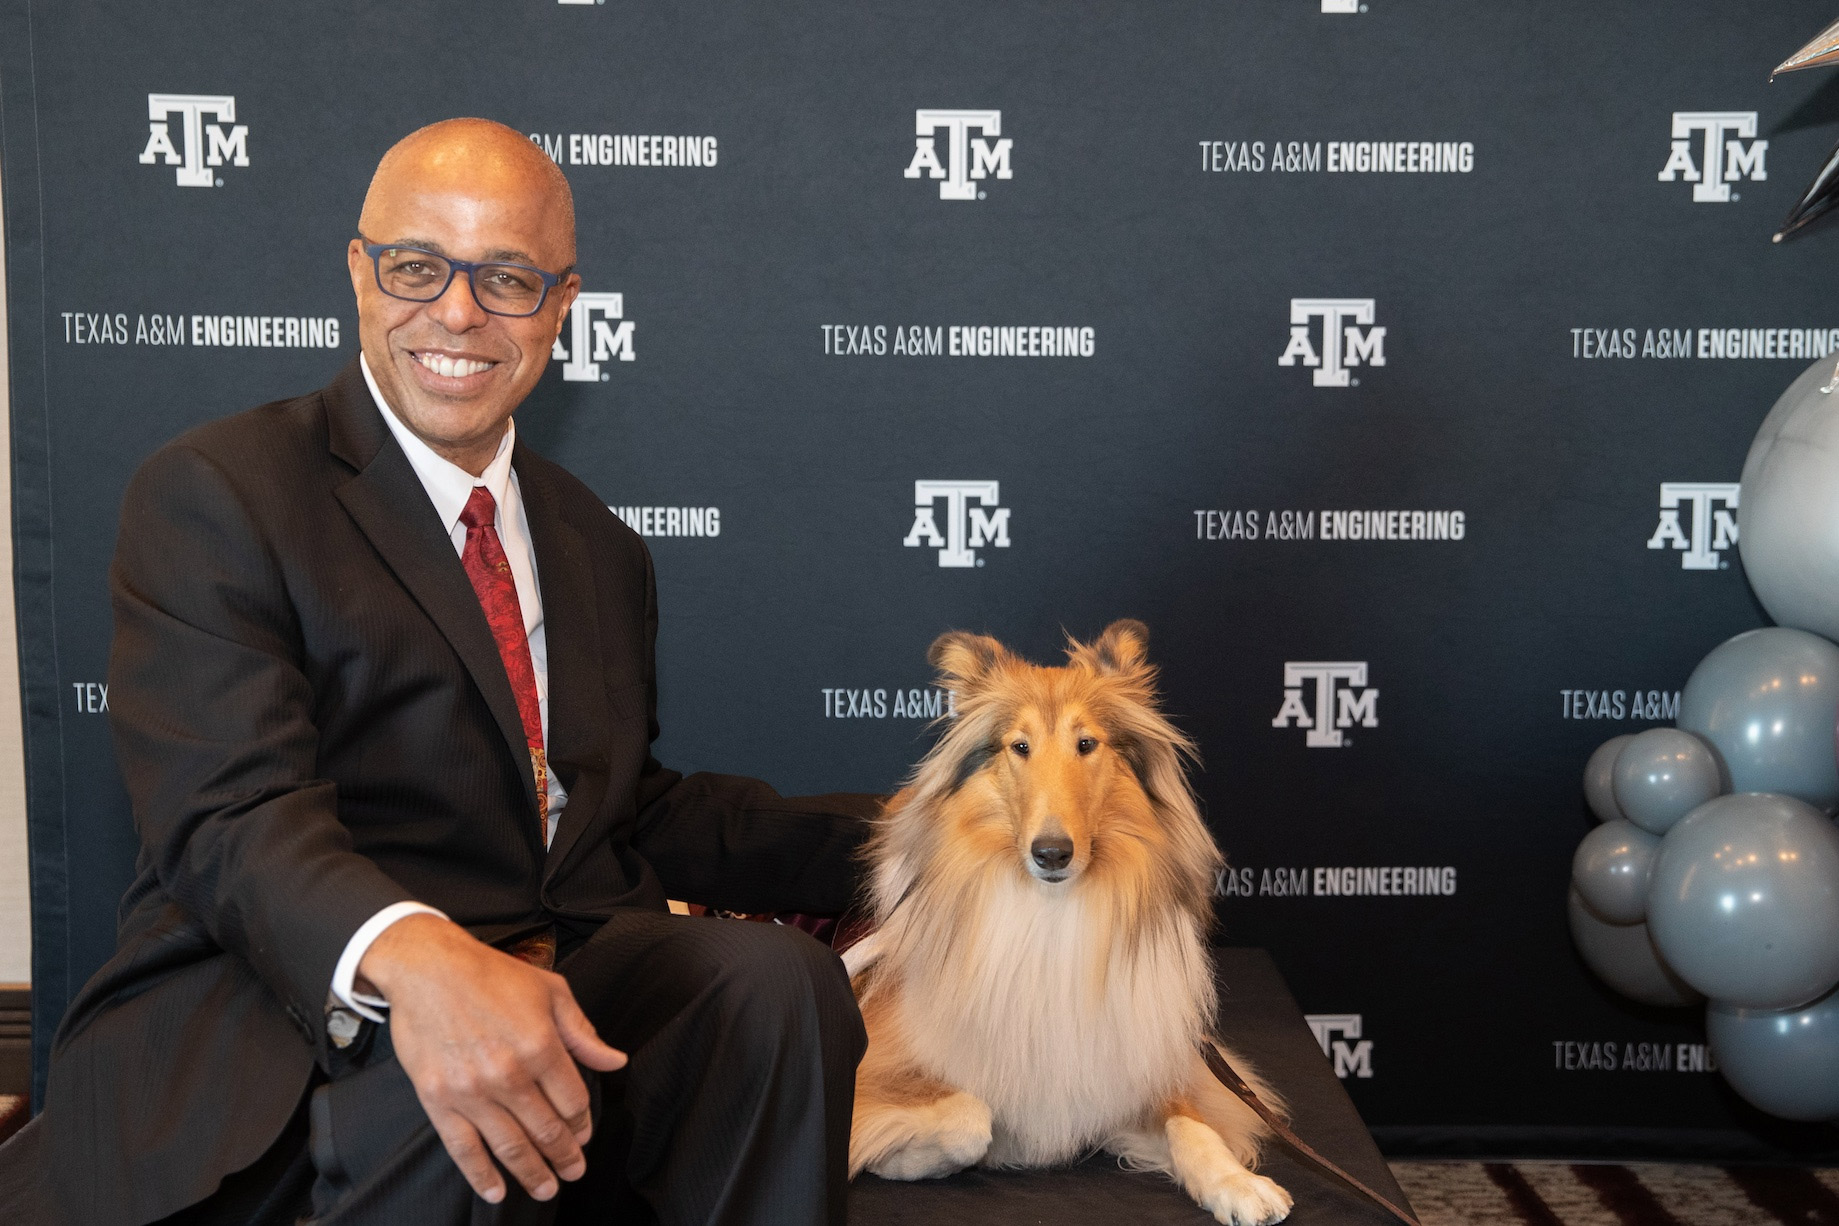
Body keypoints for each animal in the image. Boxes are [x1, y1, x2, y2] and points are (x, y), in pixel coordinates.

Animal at [842, 624, 1287, 1226]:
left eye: (1087, 744)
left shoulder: (1139, 1066)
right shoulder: (873, 1070)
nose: (1051, 853)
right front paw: (898, 1157)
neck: (1052, 917)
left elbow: (1193, 1125)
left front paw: (1237, 1183)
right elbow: (968, 1117)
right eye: (1020, 746)